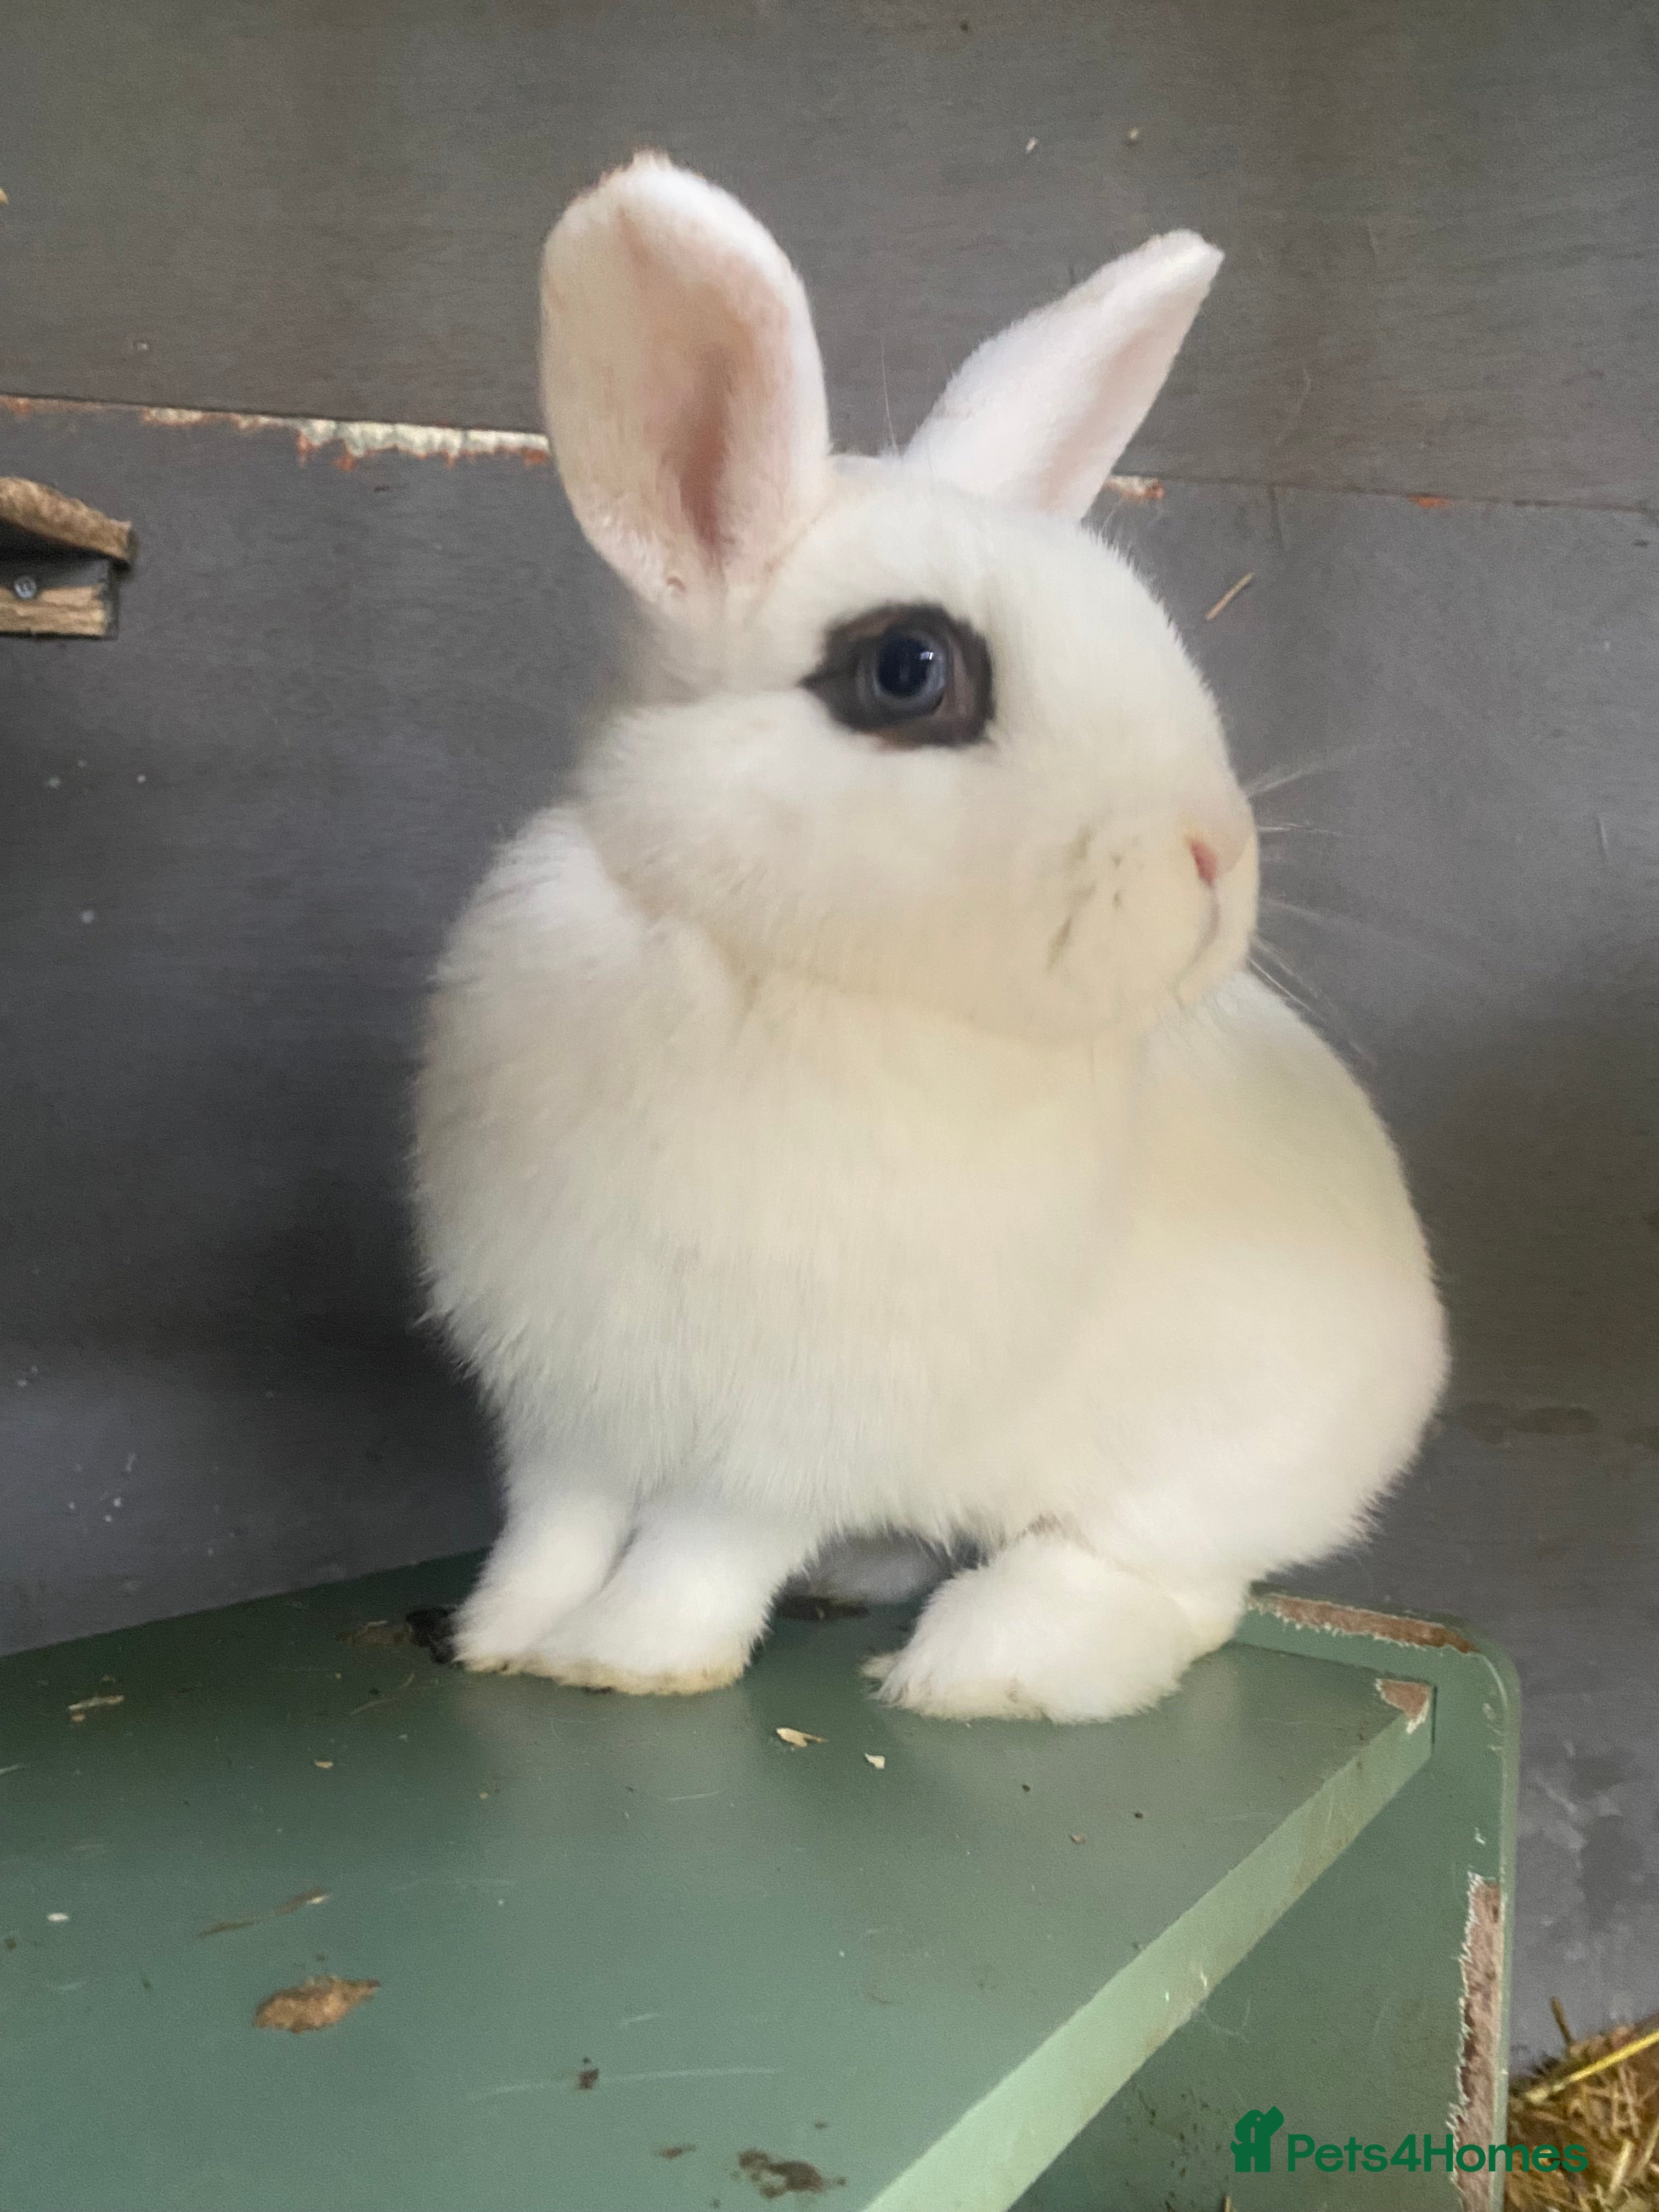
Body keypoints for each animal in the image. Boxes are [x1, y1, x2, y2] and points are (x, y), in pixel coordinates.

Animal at [412, 152, 1447, 1722]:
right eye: (910, 671)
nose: (1216, 856)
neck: (771, 966)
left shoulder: (794, 1428)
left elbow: (703, 1545)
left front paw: (626, 1660)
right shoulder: (562, 1396)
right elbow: (558, 1524)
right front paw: (507, 1639)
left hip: (1188, 1474)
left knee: (1172, 1586)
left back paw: (986, 1662)